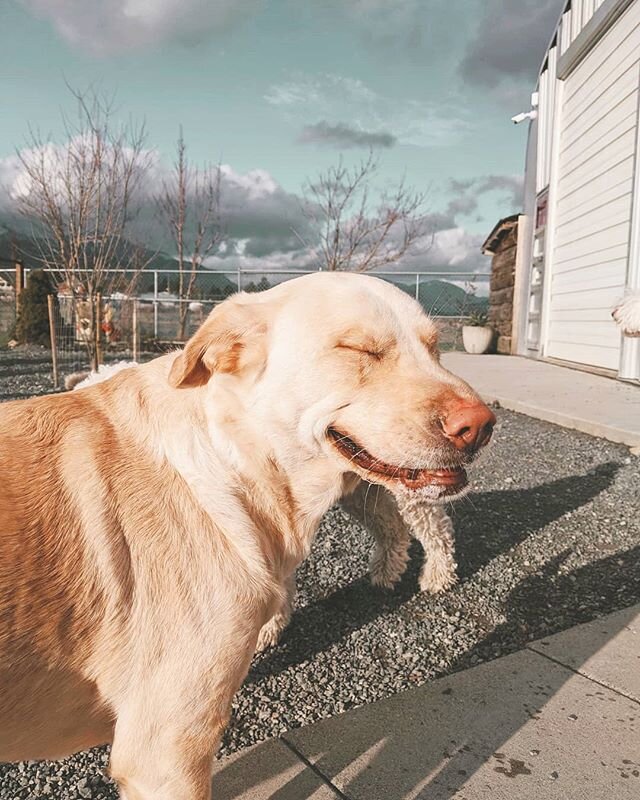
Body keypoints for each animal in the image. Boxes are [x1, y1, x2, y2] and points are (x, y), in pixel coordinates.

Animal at [0, 272, 496, 796]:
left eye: (434, 347)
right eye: (359, 349)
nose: (480, 425)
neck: (230, 461)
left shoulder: (166, 744)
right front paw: (273, 626)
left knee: (433, 527)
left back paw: (436, 576)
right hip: (373, 488)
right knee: (392, 526)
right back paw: (386, 573)